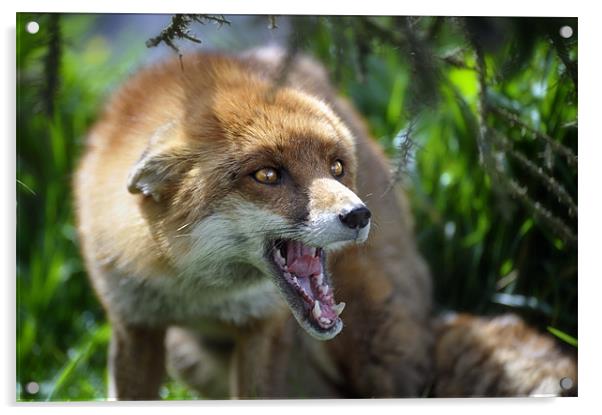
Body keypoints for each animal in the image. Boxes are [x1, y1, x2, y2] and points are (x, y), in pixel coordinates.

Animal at [72, 48, 576, 400]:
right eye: (267, 175)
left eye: (336, 168)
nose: (359, 215)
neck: (195, 287)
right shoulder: (134, 325)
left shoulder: (262, 328)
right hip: (189, 355)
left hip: (373, 340)